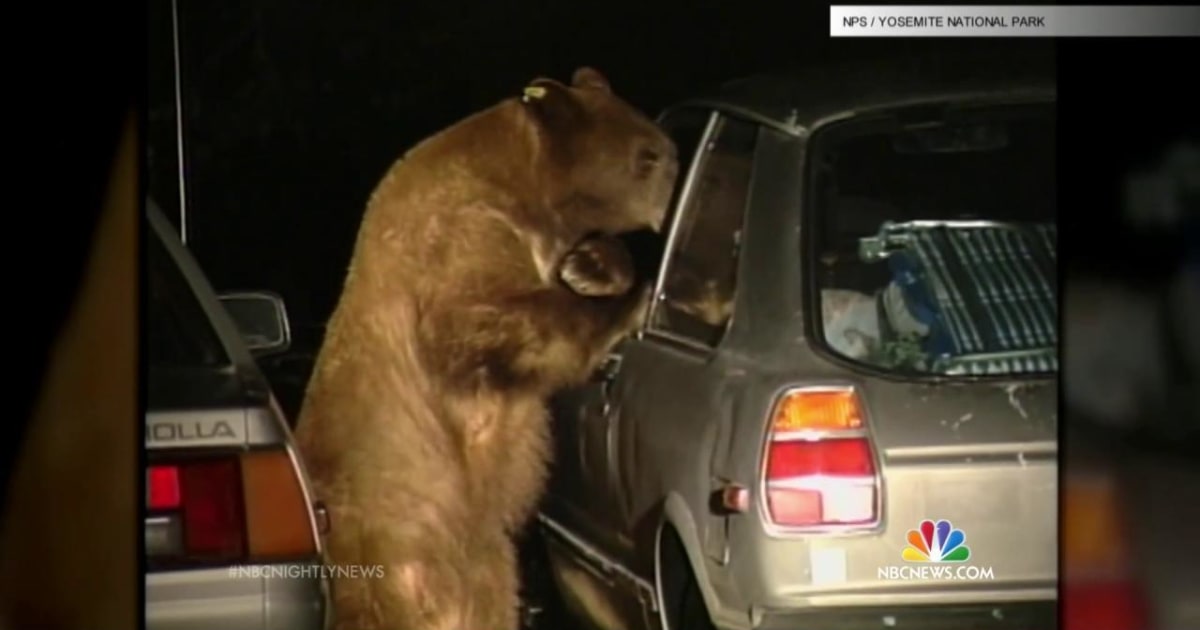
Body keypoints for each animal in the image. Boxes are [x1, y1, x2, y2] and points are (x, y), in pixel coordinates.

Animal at [292, 67, 678, 630]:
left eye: (662, 147)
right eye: (647, 155)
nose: (678, 176)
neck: (530, 192)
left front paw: (591, 264)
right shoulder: (459, 232)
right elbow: (485, 315)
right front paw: (633, 300)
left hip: (487, 567)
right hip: (383, 565)